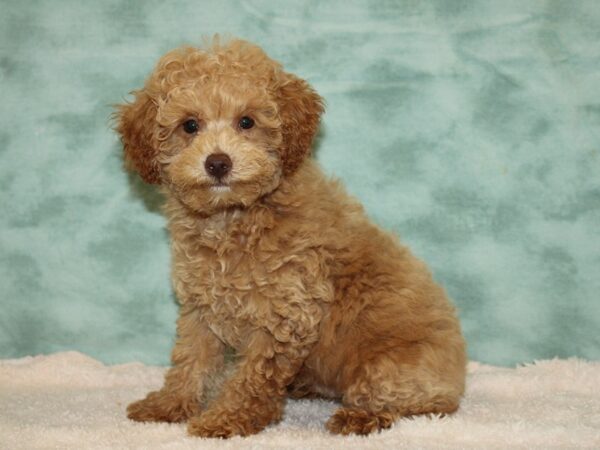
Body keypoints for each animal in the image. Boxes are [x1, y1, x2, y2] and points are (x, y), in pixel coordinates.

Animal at [115, 38, 466, 440]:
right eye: (190, 125)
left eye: (247, 122)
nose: (218, 163)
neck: (235, 218)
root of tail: (458, 375)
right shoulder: (201, 307)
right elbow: (191, 360)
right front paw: (168, 405)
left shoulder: (287, 311)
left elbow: (252, 377)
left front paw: (226, 418)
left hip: (391, 368)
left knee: (407, 401)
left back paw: (360, 416)